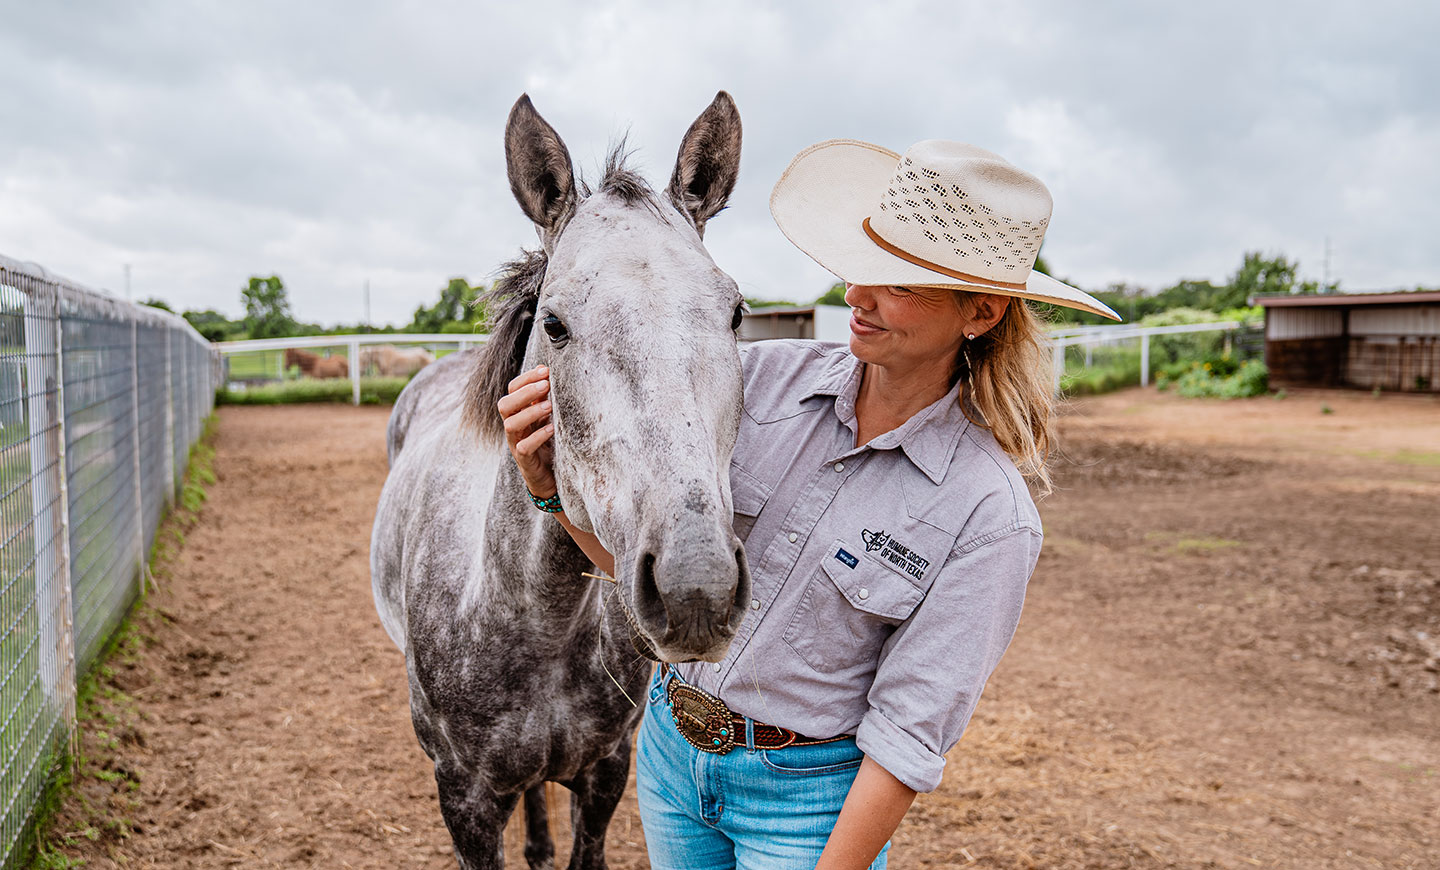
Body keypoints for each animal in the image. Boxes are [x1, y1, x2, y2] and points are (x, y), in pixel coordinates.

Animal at [371, 92, 749, 869]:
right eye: (554, 322)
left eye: (735, 312)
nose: (696, 588)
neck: (533, 618)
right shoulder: (464, 802)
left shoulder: (605, 773)